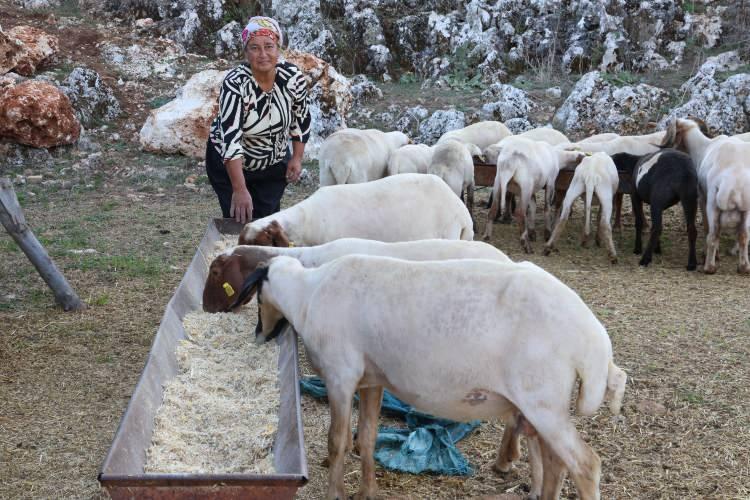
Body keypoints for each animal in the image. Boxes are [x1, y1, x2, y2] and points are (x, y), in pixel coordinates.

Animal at [247, 254, 628, 500]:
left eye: (256, 297)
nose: (259, 335)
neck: (306, 296)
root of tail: (596, 345)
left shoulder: (341, 375)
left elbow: (336, 441)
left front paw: (335, 492)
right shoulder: (372, 380)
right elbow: (367, 437)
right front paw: (367, 491)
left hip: (543, 401)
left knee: (585, 465)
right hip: (544, 406)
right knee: (554, 463)